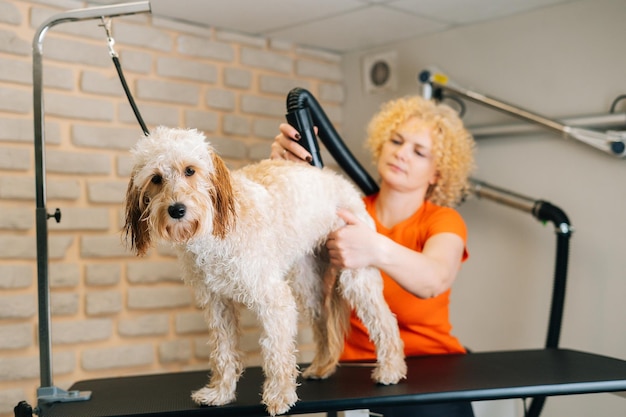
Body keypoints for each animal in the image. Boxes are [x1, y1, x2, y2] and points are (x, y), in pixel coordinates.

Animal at [122, 127, 404, 416]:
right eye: (156, 178)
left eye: (190, 170)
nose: (177, 210)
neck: (215, 231)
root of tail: (337, 181)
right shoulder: (217, 303)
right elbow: (223, 352)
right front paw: (220, 393)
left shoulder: (273, 298)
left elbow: (276, 351)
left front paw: (280, 395)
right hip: (307, 284)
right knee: (323, 322)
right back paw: (321, 367)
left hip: (356, 274)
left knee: (385, 320)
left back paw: (390, 369)